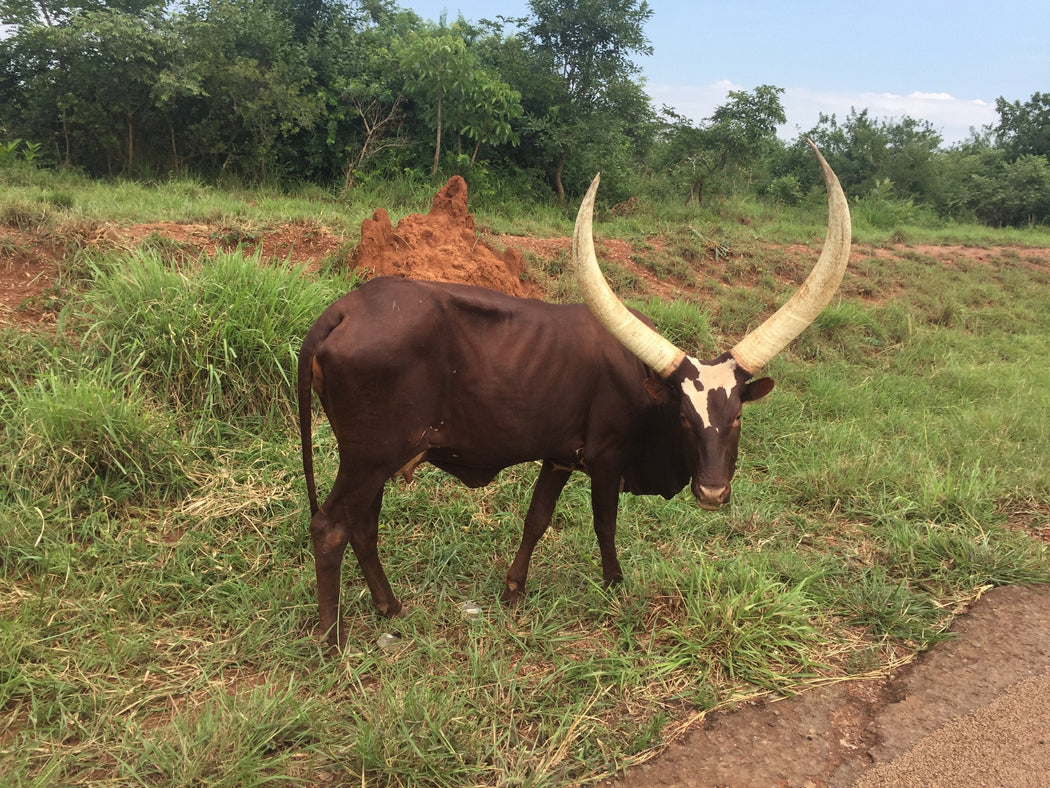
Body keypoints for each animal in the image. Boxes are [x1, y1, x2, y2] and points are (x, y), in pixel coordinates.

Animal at [300, 141, 848, 647]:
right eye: (685, 419)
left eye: (735, 418)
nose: (712, 492)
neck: (641, 386)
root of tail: (345, 309)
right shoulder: (606, 460)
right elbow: (605, 523)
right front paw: (615, 585)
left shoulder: (560, 456)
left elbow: (536, 519)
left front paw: (513, 590)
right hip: (369, 457)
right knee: (330, 528)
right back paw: (332, 638)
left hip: (377, 460)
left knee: (363, 526)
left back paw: (389, 607)